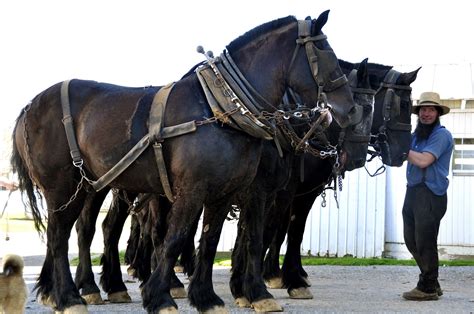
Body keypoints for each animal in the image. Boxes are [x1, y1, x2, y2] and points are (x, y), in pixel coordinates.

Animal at [10, 11, 360, 312]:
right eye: (325, 53)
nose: (349, 110)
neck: (220, 110)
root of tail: (30, 106)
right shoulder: (198, 190)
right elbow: (177, 239)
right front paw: (161, 297)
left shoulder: (224, 193)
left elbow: (211, 241)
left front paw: (208, 298)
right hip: (63, 188)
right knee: (61, 237)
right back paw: (70, 297)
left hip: (87, 186)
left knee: (70, 232)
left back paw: (67, 292)